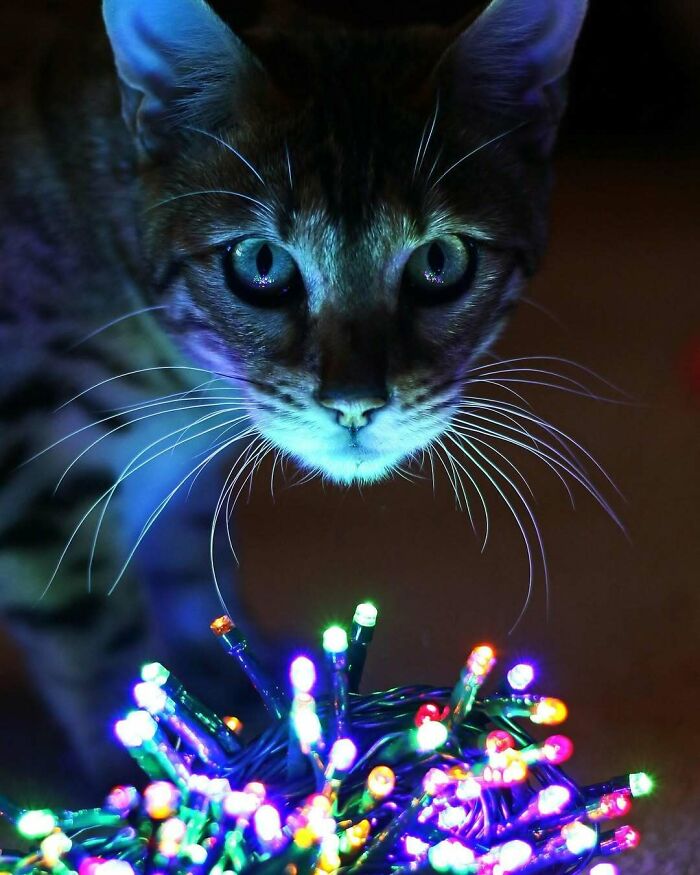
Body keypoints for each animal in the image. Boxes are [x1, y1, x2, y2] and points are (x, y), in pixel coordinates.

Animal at [0, 0, 592, 792]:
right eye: (260, 262)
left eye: (441, 260)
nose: (355, 402)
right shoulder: (34, 458)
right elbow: (90, 630)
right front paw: (145, 779)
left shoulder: (174, 481)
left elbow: (189, 572)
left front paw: (236, 704)